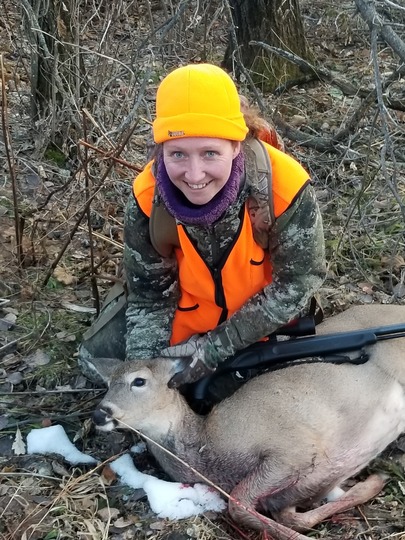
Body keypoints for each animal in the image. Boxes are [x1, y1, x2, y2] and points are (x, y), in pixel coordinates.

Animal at [90, 304, 404, 540]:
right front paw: (374, 483)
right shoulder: (294, 489)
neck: (206, 445)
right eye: (108, 383)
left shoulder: (296, 448)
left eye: (139, 381)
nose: (100, 413)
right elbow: (289, 517)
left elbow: (238, 504)